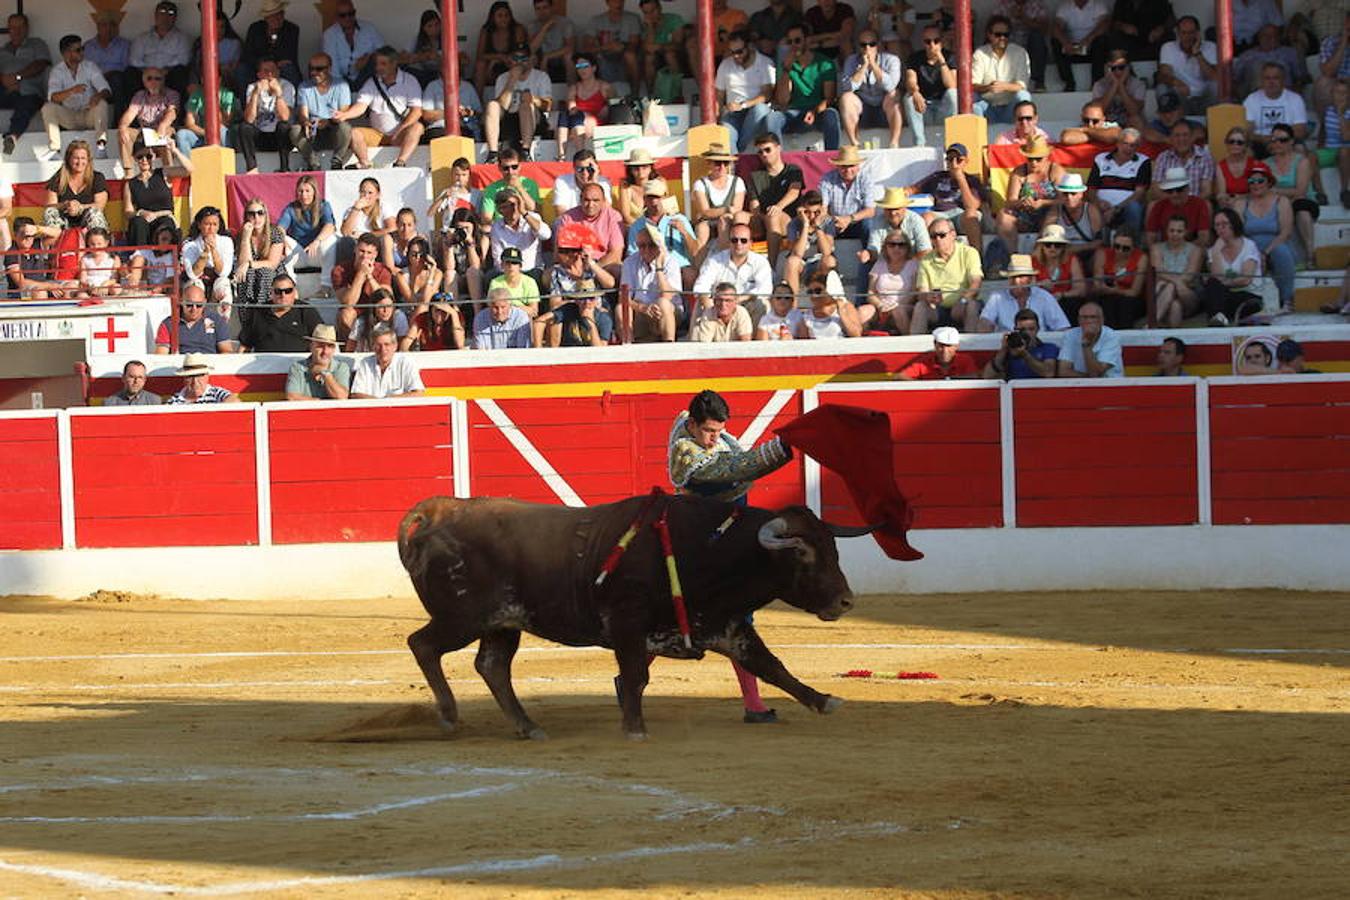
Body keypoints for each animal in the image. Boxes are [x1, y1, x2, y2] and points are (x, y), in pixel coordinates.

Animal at [396, 493, 864, 739]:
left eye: (833, 548)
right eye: (802, 554)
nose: (845, 602)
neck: (706, 546)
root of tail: (439, 510)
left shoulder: (724, 625)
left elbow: (772, 667)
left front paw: (824, 700)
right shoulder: (626, 621)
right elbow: (637, 674)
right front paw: (634, 726)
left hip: (502, 624)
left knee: (491, 666)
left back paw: (528, 727)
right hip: (463, 617)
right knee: (422, 645)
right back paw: (448, 714)